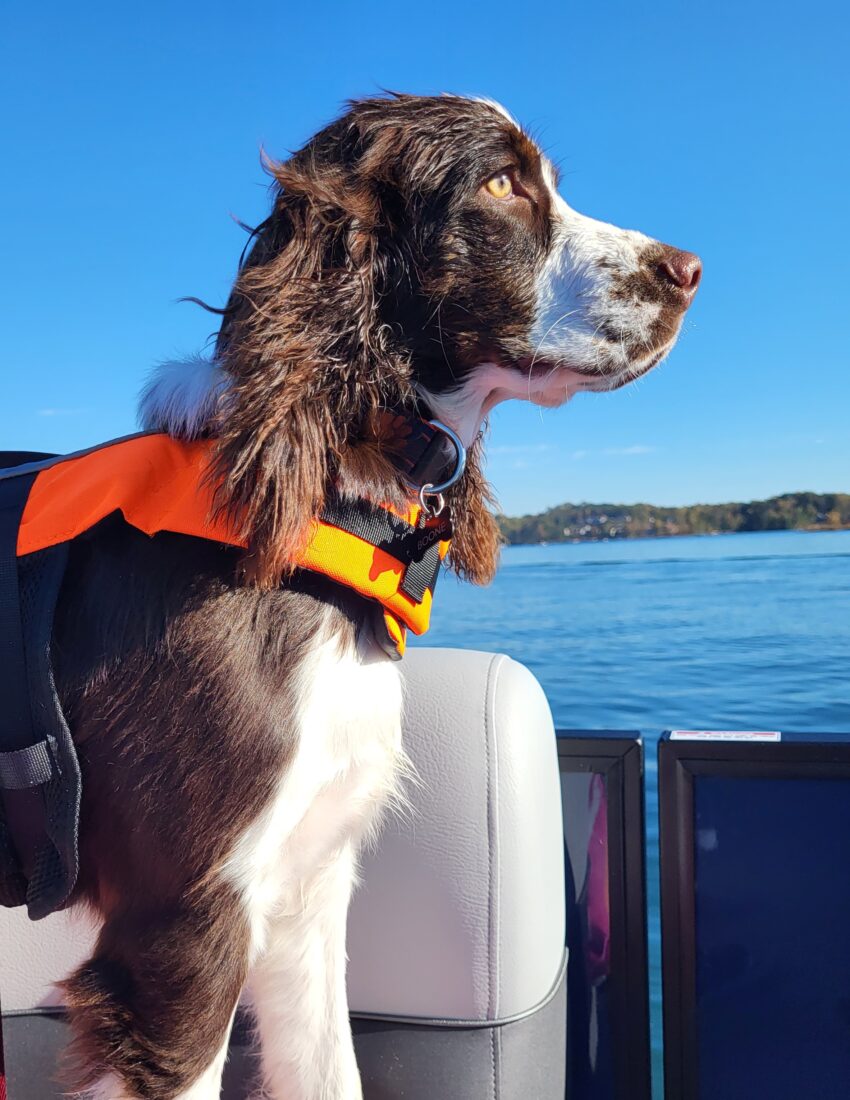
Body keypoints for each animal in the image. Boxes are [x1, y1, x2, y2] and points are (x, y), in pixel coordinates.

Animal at [46, 96, 699, 1100]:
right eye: (502, 183)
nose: (692, 271)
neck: (331, 493)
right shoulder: (181, 927)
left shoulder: (305, 887)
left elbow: (329, 1067)